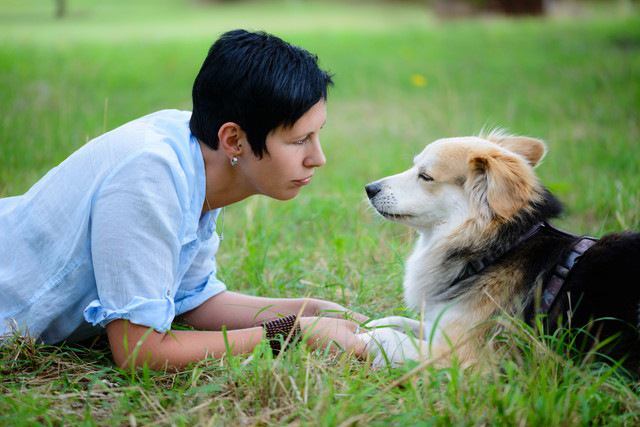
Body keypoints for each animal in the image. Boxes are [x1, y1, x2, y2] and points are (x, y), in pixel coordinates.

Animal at [360, 131, 640, 372]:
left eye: (425, 176)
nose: (369, 188)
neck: (497, 250)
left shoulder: (459, 354)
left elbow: (391, 337)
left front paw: (367, 336)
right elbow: (402, 321)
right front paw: (371, 323)